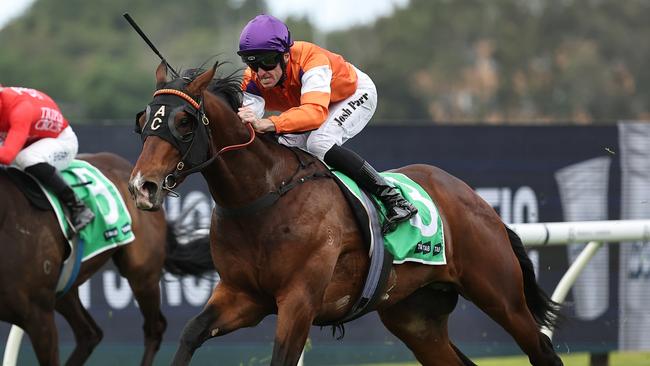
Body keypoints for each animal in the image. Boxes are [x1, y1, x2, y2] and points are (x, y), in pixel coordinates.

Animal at [128, 63, 560, 366]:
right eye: (144, 118)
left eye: (184, 121)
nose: (141, 186)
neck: (263, 198)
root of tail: (476, 200)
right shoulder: (243, 296)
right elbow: (190, 333)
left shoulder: (299, 300)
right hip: (416, 318)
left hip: (500, 295)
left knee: (541, 348)